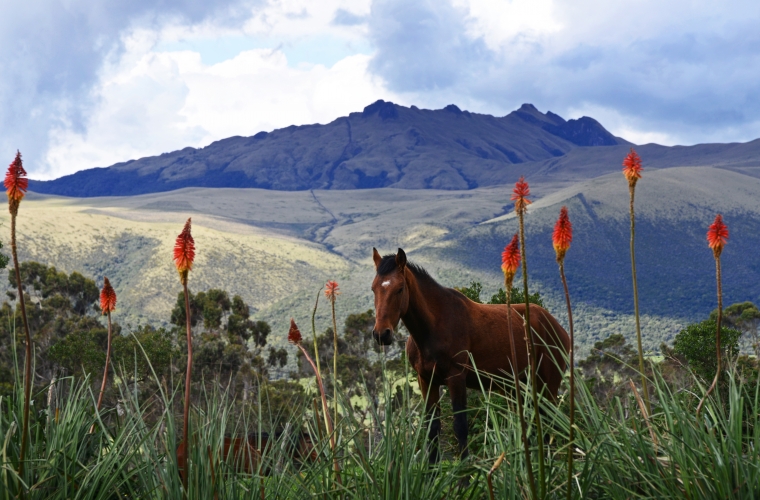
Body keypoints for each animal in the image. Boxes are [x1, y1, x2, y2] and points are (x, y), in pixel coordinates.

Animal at [372, 247, 568, 460]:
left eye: (399, 289)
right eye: (374, 289)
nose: (382, 334)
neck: (435, 326)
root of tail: (558, 327)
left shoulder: (456, 379)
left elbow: (460, 427)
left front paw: (464, 467)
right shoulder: (426, 381)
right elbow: (432, 429)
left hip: (547, 388)